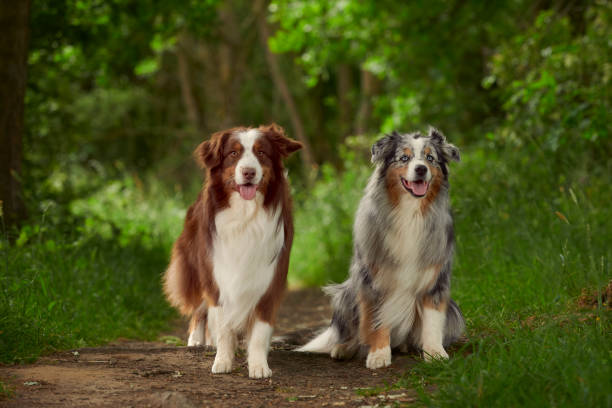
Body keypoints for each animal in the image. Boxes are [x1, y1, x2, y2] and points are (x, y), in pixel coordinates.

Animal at [164, 124, 302, 380]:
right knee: (200, 309)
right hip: (197, 268)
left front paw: (258, 365)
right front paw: (223, 361)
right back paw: (197, 340)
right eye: (233, 154)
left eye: (261, 153)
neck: (245, 216)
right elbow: (224, 326)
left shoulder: (269, 278)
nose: (248, 172)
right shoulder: (217, 275)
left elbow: (259, 330)